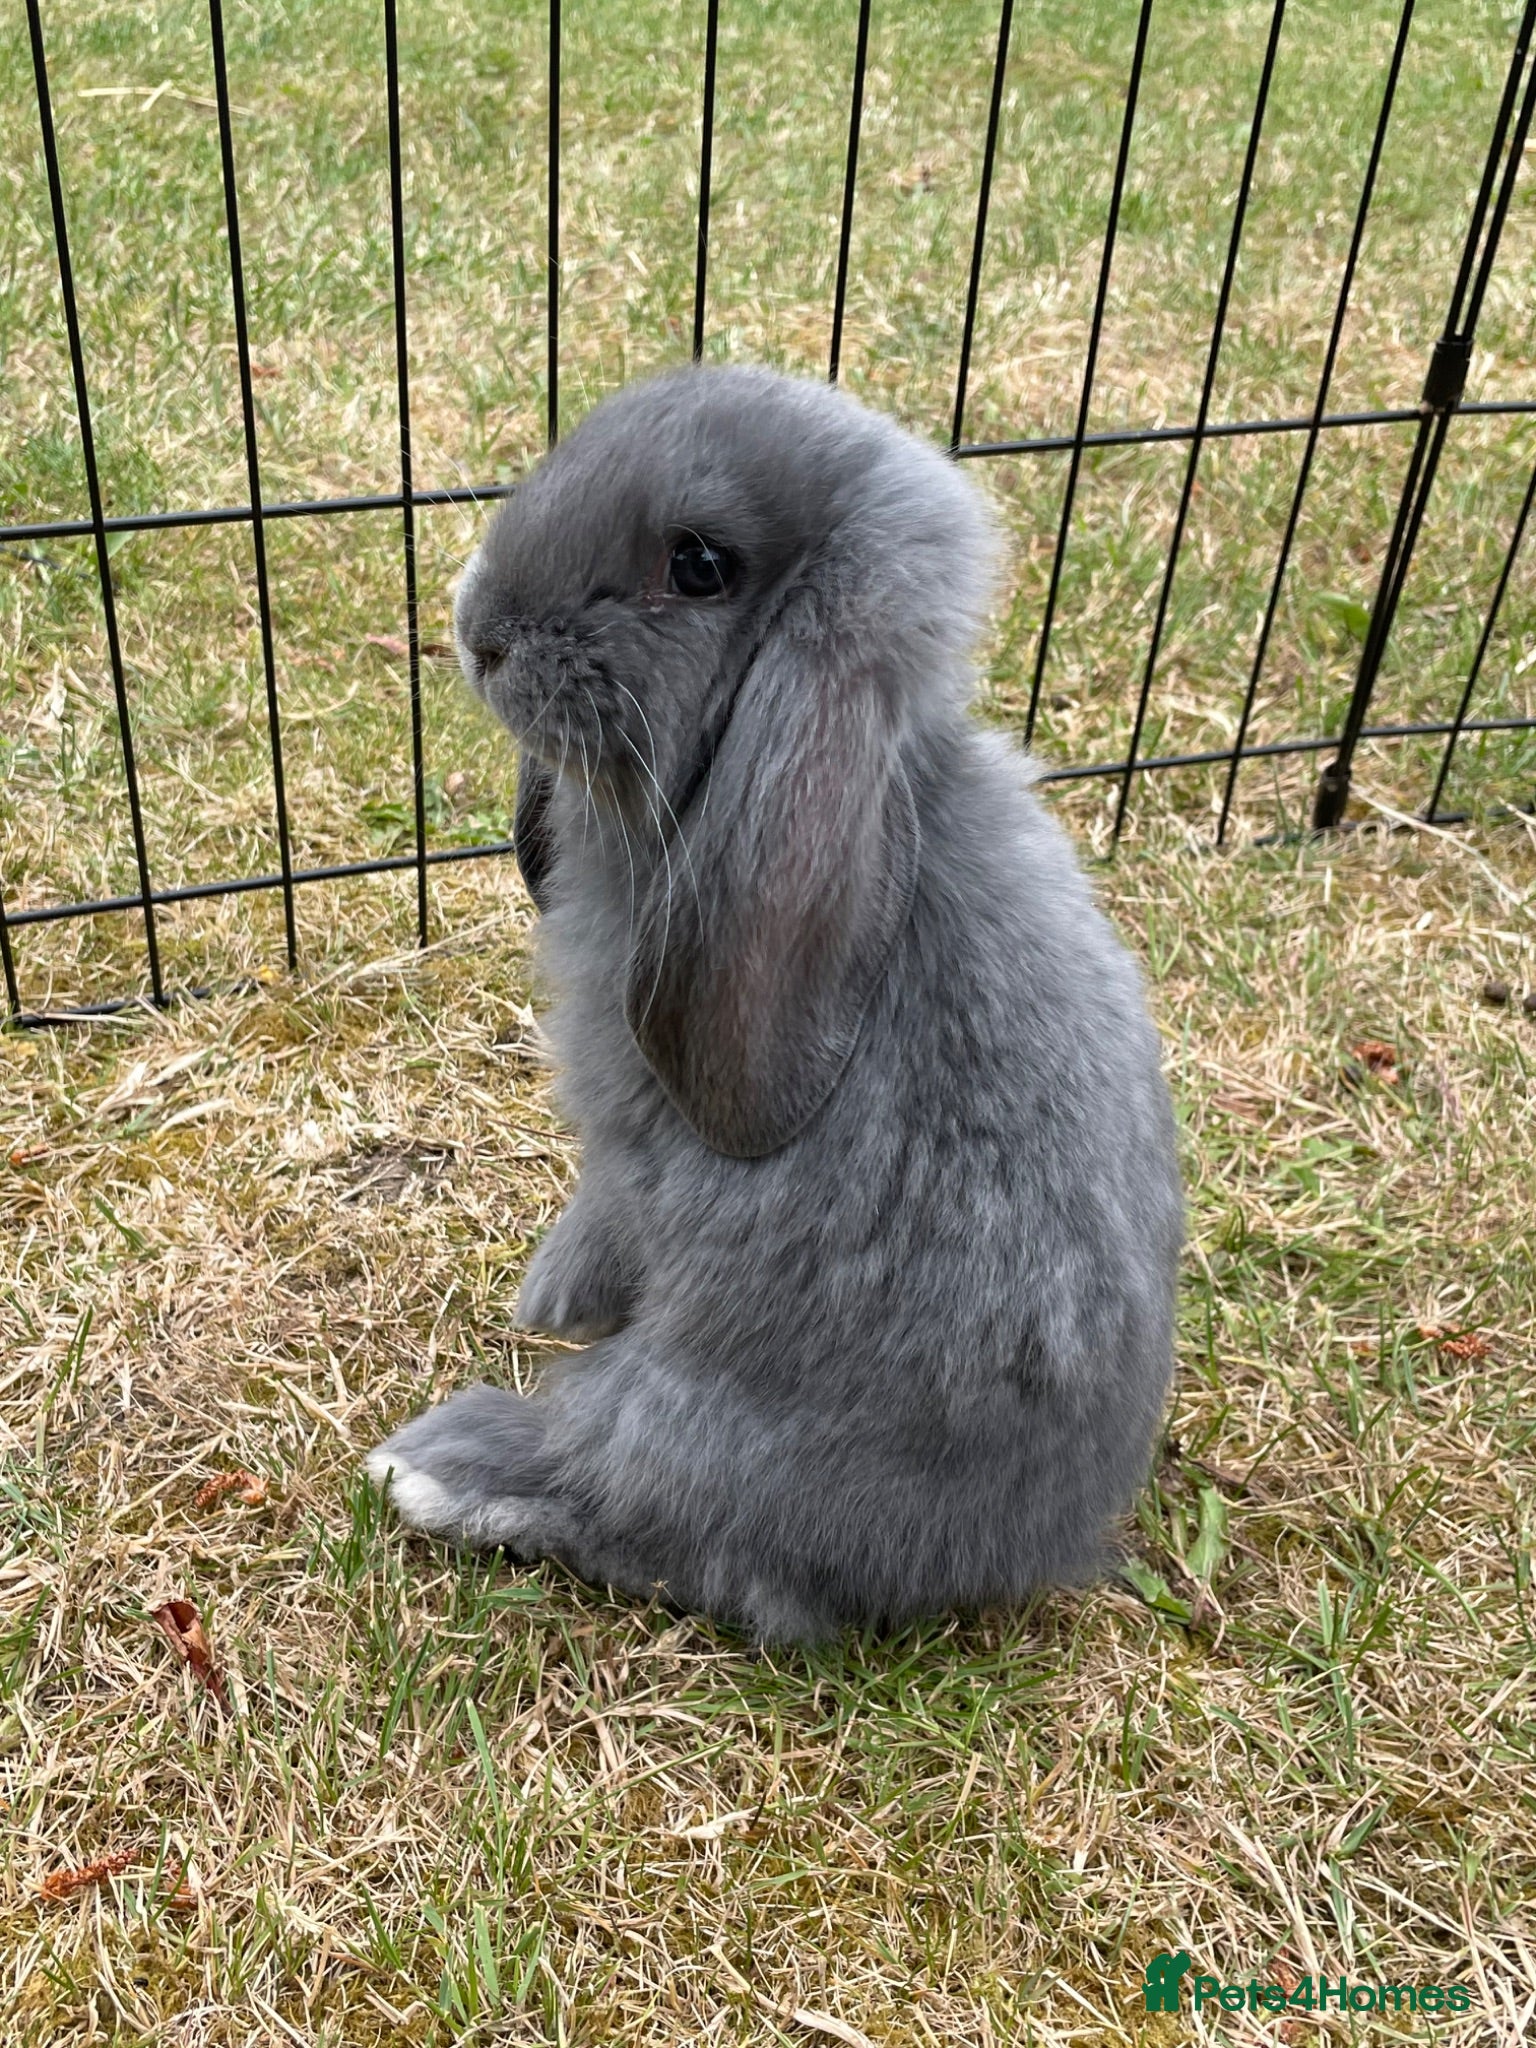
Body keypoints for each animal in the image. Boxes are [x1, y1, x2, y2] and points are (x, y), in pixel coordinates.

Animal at [364, 363, 1183, 1644]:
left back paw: (441, 1465)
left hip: (689, 1417)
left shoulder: (637, 1149)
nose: (479, 630)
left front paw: (551, 1305)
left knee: (645, 1511)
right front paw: (554, 1294)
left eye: (699, 565)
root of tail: (1018, 1543)